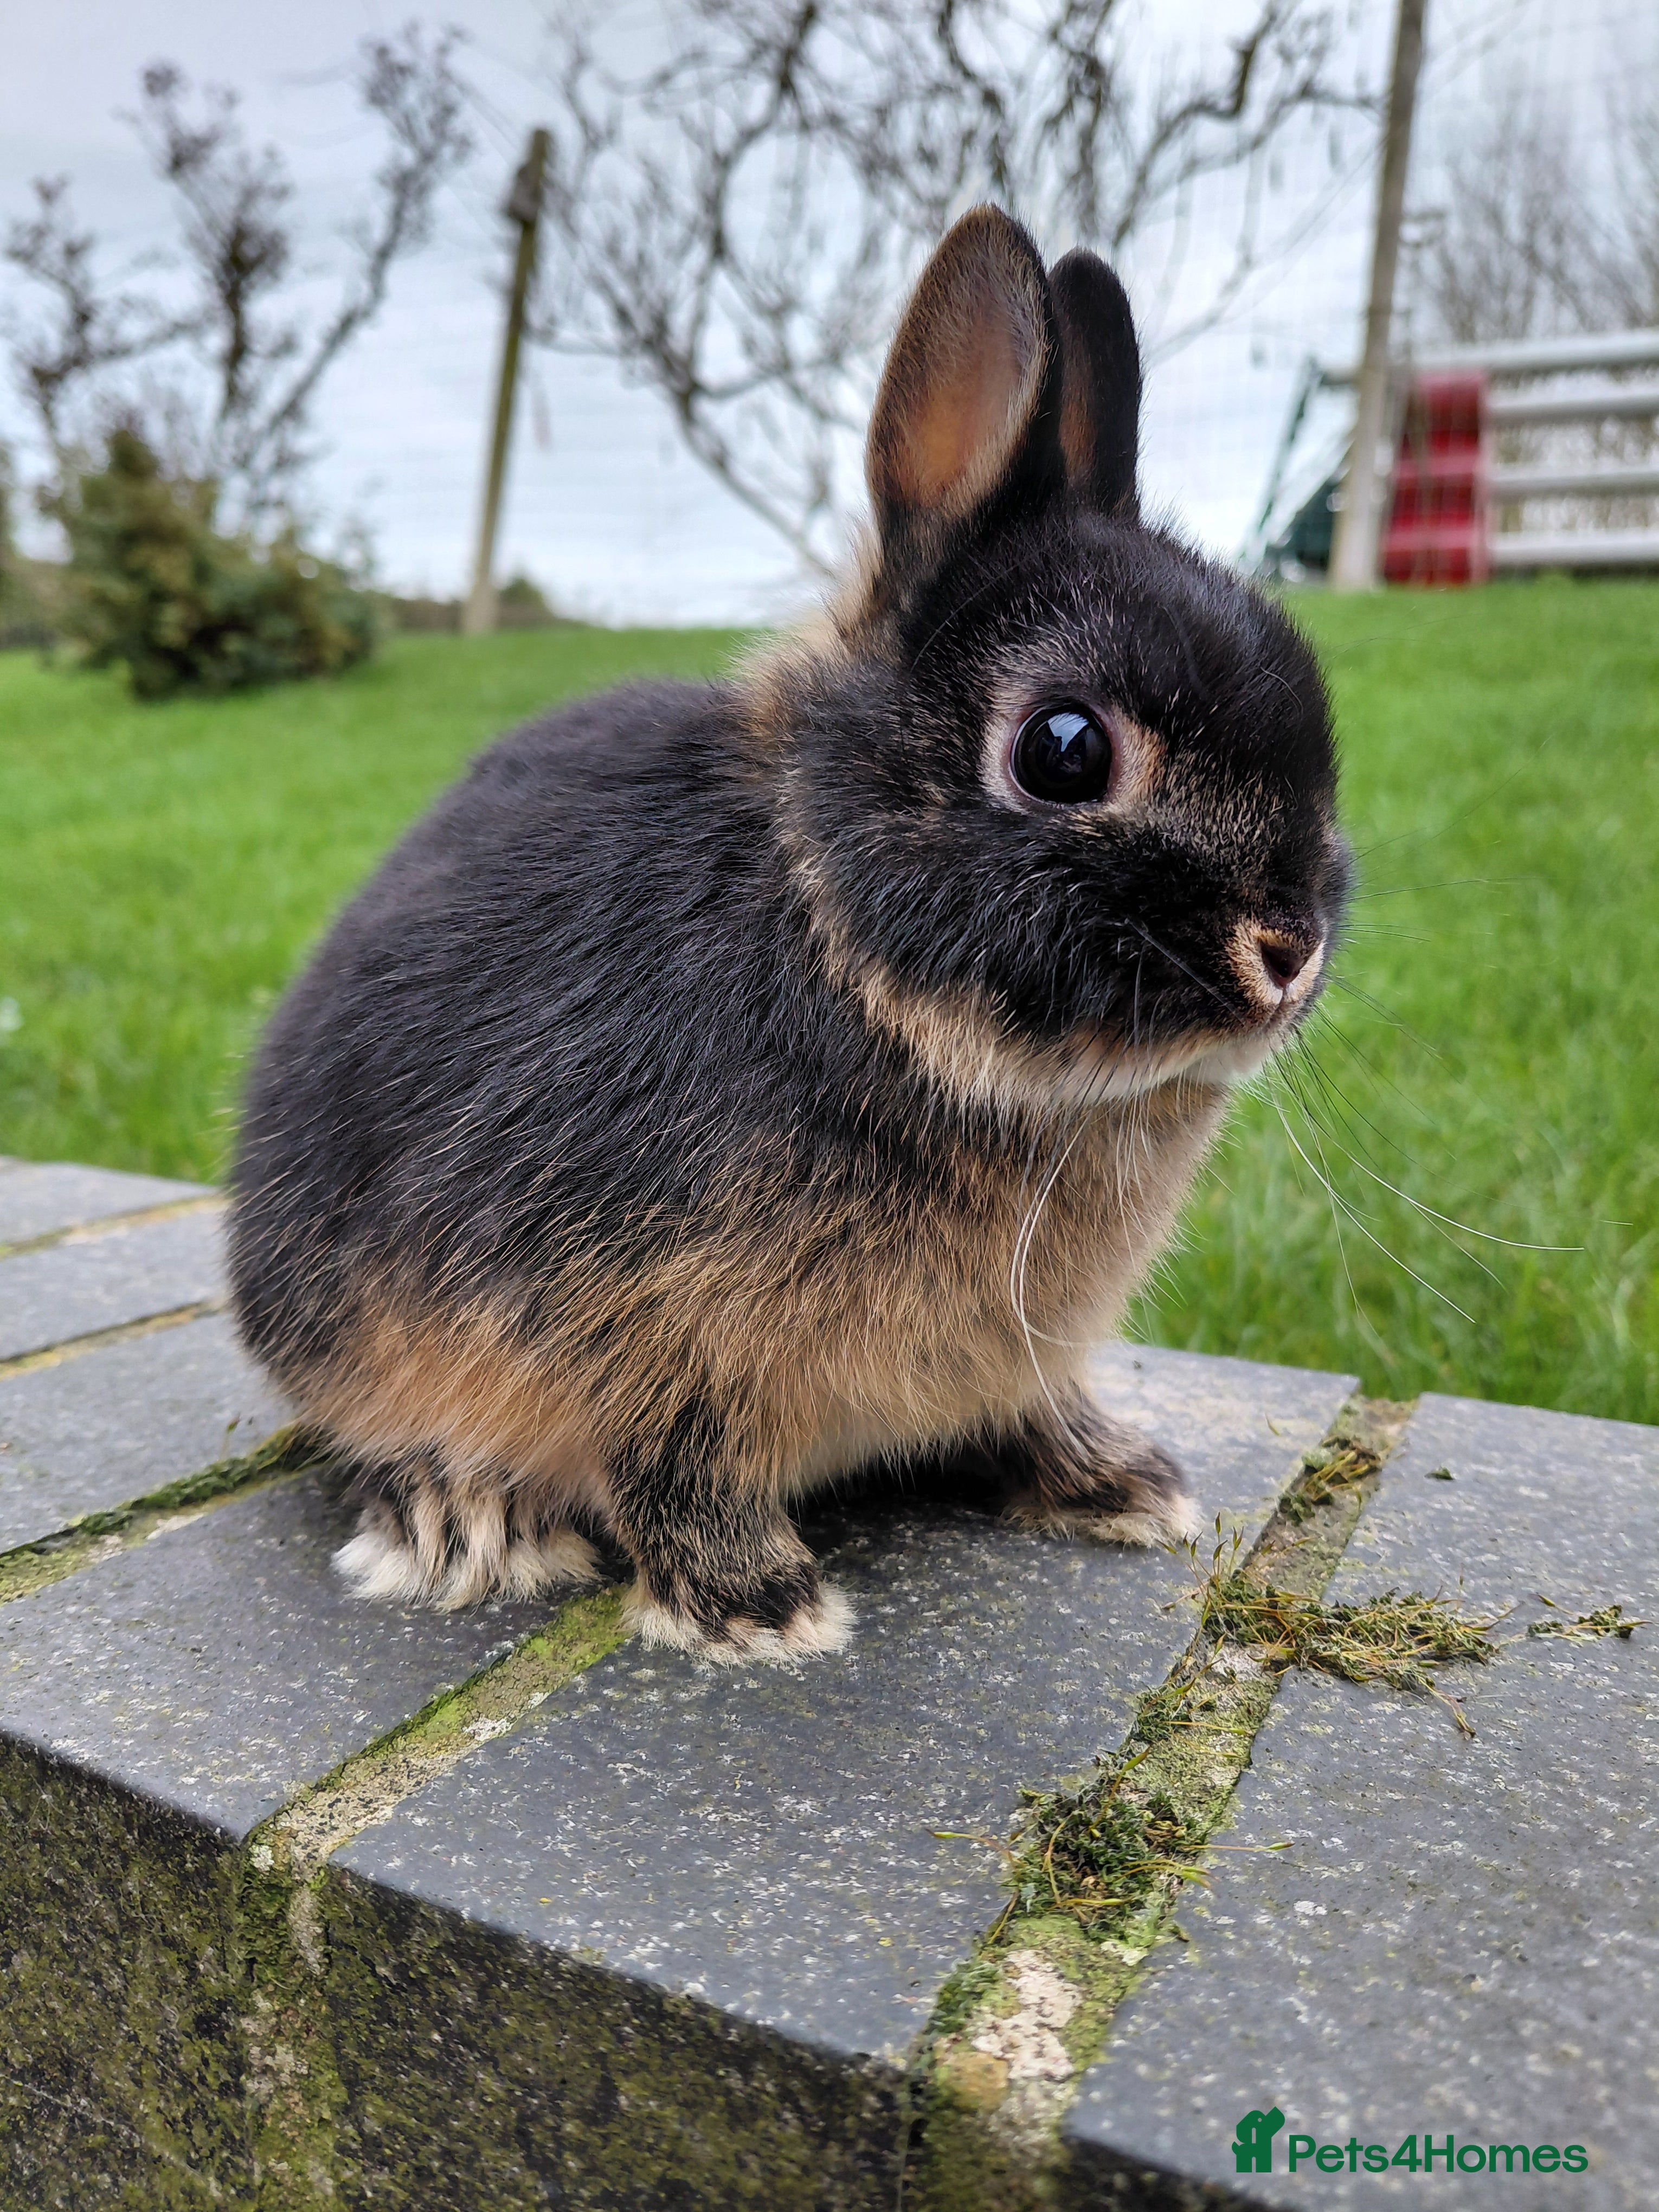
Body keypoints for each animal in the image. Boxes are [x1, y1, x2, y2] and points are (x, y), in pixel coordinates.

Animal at [228, 205, 1346, 1665]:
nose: (1289, 950)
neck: (836, 935)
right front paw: (759, 1605)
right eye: (1065, 750)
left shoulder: (1012, 1353)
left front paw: (1121, 1482)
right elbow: (672, 1460)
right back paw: (457, 1515)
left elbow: (1025, 1408)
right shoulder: (640, 1323)